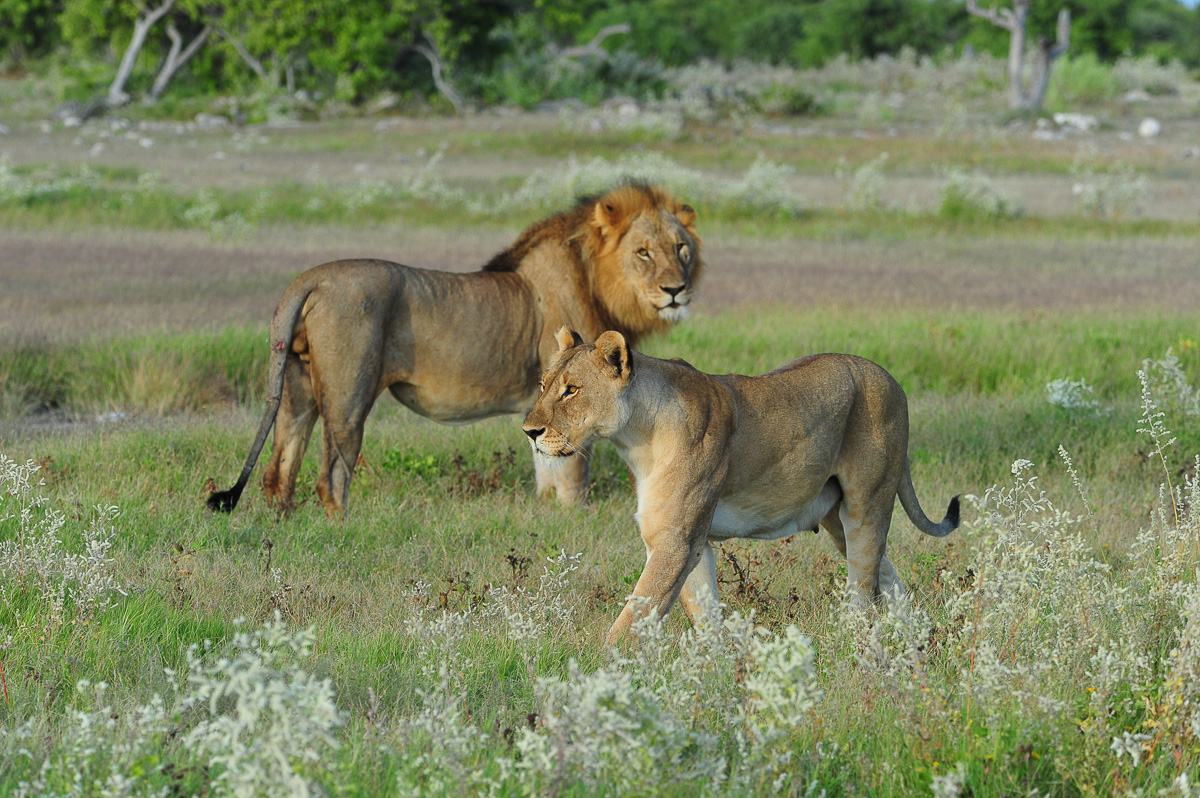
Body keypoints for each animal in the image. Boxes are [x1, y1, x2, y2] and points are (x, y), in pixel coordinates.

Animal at [207, 182, 702, 519]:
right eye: (643, 252)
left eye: (682, 248)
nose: (676, 290)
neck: (596, 280)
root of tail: (311, 278)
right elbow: (572, 475)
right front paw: (572, 519)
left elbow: (544, 467)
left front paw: (545, 512)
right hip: (349, 393)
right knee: (332, 476)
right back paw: (341, 529)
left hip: (296, 384)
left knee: (279, 469)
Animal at [522, 327, 959, 644]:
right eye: (543, 385)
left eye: (571, 389)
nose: (529, 431)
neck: (636, 437)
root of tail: (892, 379)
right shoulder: (688, 541)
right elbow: (704, 616)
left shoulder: (675, 540)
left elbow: (633, 618)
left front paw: (597, 675)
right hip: (839, 519)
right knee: (888, 578)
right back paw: (914, 642)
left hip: (867, 506)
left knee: (863, 594)